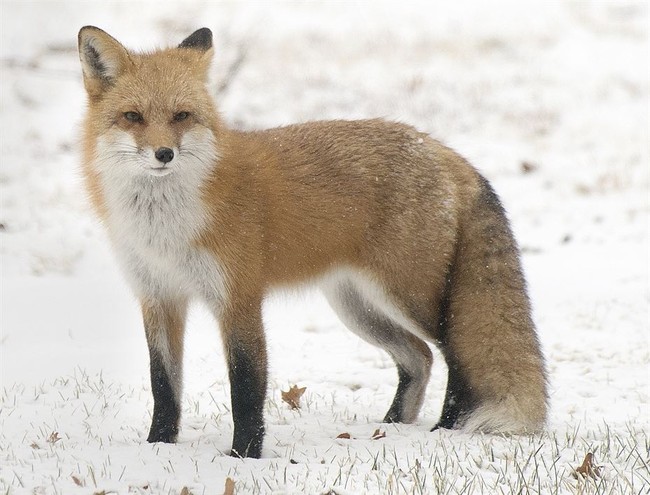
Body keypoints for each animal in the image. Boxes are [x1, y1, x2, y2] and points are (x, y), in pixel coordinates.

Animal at [77, 26, 548, 458]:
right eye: (133, 116)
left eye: (182, 116)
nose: (164, 154)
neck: (165, 228)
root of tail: (443, 149)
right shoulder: (158, 297)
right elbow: (163, 385)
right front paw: (158, 447)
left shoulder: (238, 298)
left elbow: (245, 388)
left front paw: (245, 456)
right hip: (356, 306)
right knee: (419, 358)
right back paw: (393, 426)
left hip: (409, 297)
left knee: (453, 356)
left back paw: (445, 429)